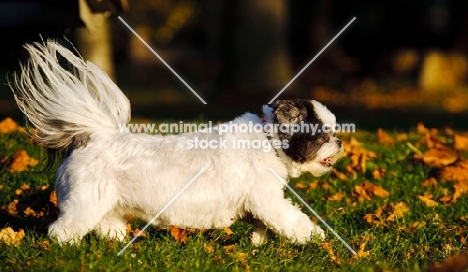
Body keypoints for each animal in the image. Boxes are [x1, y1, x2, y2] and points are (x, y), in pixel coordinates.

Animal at [10, 41, 344, 245]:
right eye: (323, 135)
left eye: (333, 133)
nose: (340, 142)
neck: (268, 140)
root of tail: (93, 136)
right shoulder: (266, 198)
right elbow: (291, 219)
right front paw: (314, 236)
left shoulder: (258, 202)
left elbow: (264, 225)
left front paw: (259, 243)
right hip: (85, 201)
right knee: (62, 231)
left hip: (105, 204)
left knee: (106, 225)